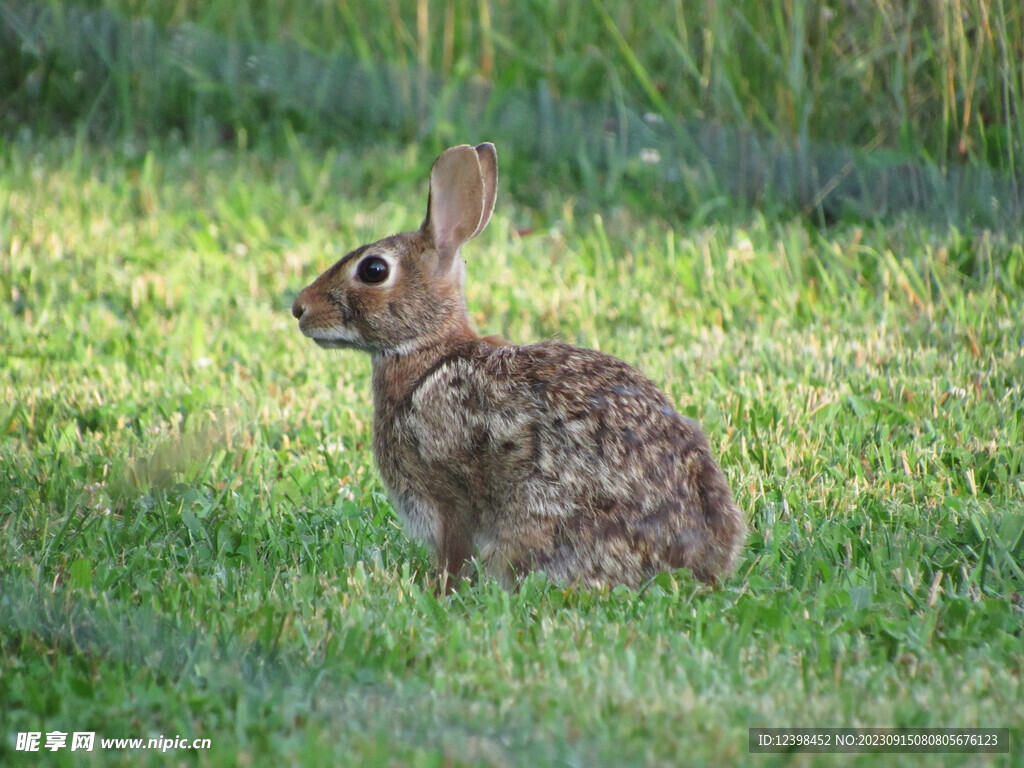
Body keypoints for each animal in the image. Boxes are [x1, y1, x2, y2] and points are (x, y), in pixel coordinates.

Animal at [292, 144, 749, 593]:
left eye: (374, 270)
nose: (299, 308)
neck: (429, 351)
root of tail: (701, 556)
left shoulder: (446, 496)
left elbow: (454, 551)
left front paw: (440, 591)